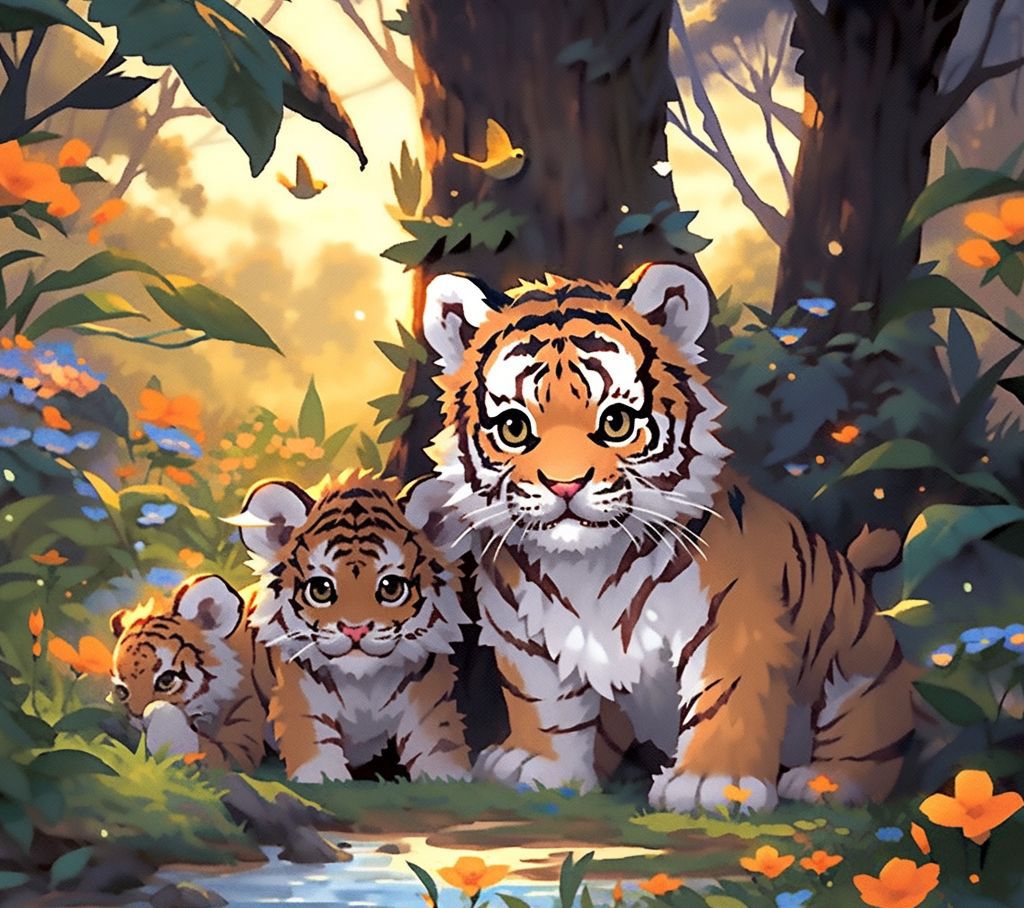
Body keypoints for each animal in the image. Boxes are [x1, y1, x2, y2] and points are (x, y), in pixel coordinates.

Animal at [234, 472, 472, 783]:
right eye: (321, 589)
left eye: (391, 588)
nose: (355, 630)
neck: (364, 685)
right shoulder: (302, 696)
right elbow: (318, 752)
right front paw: (326, 778)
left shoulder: (428, 700)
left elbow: (439, 747)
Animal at [416, 261, 917, 812]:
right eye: (513, 428)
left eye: (615, 422)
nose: (565, 484)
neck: (583, 565)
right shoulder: (521, 634)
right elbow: (545, 702)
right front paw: (541, 768)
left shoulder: (734, 620)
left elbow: (725, 696)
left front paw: (711, 786)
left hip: (860, 681)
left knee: (864, 753)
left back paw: (822, 783)